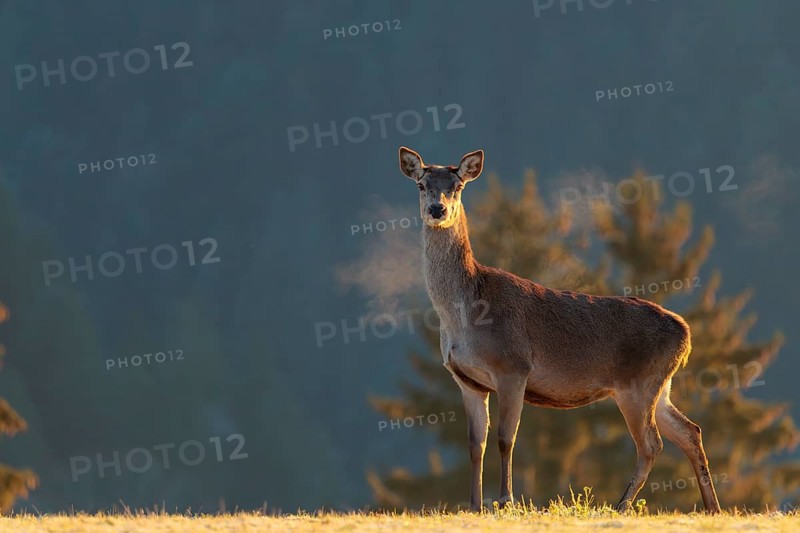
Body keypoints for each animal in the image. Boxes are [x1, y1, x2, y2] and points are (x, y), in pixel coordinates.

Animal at [397, 146, 721, 514]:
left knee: (652, 444)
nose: (438, 209)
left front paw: (506, 501)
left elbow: (505, 438)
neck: (463, 314)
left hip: (639, 383)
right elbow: (475, 444)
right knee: (690, 431)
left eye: (458, 186)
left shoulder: (513, 367)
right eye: (422, 185)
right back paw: (712, 507)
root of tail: (686, 334)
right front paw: (473, 505)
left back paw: (620, 505)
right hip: (660, 386)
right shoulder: (468, 381)